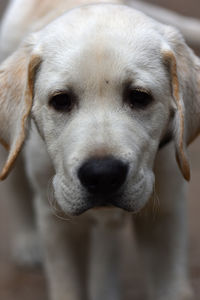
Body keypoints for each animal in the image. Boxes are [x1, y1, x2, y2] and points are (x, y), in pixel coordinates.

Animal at [0, 0, 200, 300]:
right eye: (61, 101)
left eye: (139, 97)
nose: (103, 175)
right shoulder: (56, 222)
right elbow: (67, 287)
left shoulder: (166, 213)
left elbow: (171, 287)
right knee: (16, 187)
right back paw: (28, 242)